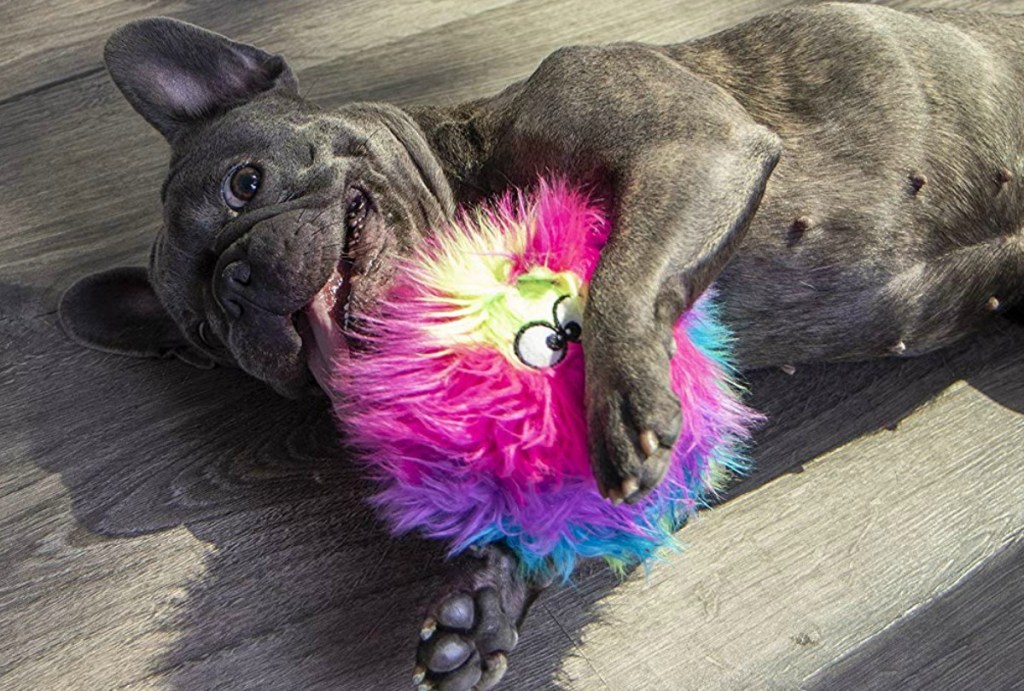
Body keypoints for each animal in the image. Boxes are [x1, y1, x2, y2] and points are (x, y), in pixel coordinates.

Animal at [59, 2, 1024, 687]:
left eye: (246, 183)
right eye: (202, 333)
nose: (235, 284)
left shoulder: (693, 142)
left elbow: (624, 275)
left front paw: (623, 397)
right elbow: (545, 492)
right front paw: (488, 600)